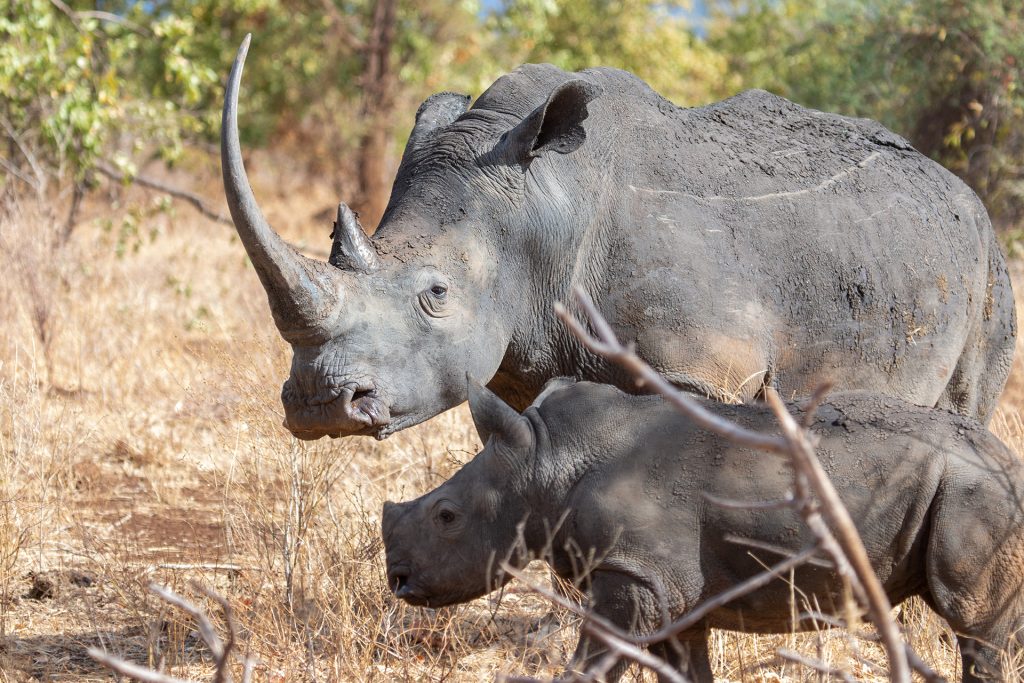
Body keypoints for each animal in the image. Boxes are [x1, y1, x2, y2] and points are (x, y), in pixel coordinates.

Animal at [380, 378, 1019, 683]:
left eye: (447, 517)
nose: (398, 580)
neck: (544, 459)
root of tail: (1006, 459)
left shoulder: (633, 573)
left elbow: (593, 662)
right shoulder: (665, 587)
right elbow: (685, 667)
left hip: (973, 492)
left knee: (973, 625)